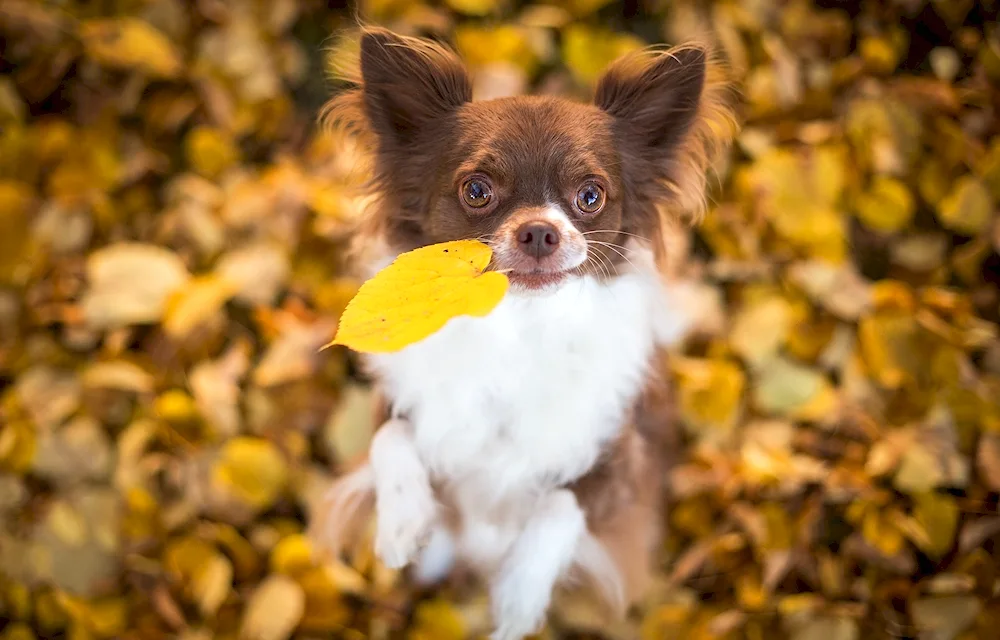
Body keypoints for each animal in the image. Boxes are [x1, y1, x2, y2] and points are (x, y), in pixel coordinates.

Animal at [308, 26, 740, 640]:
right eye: (477, 191)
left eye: (591, 196)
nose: (539, 230)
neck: (518, 327)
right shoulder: (399, 404)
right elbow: (389, 437)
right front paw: (401, 523)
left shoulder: (621, 463)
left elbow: (563, 504)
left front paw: (518, 598)